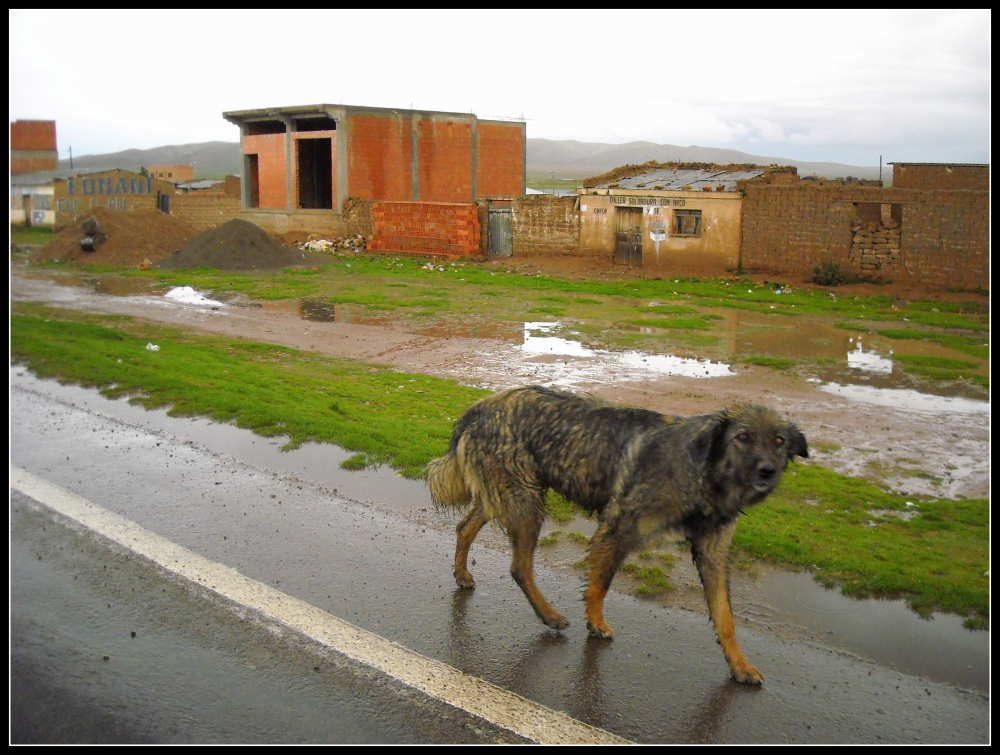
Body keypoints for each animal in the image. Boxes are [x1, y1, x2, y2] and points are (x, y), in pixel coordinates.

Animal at [426, 386, 808, 688]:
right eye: (742, 437)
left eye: (779, 442)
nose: (767, 471)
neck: (699, 468)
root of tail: (478, 408)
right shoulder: (616, 529)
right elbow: (599, 586)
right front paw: (595, 625)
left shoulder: (712, 552)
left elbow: (725, 617)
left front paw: (739, 664)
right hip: (524, 503)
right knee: (520, 567)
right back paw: (548, 615)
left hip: (505, 497)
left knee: (465, 527)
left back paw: (462, 573)